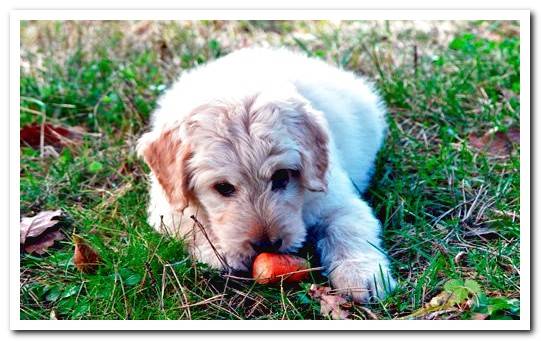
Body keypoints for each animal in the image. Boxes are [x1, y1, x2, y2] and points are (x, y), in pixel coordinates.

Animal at [137, 47, 394, 300]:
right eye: (223, 187)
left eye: (282, 177)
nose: (267, 245)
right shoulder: (166, 207)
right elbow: (191, 224)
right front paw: (220, 252)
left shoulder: (336, 199)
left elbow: (348, 229)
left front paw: (361, 275)